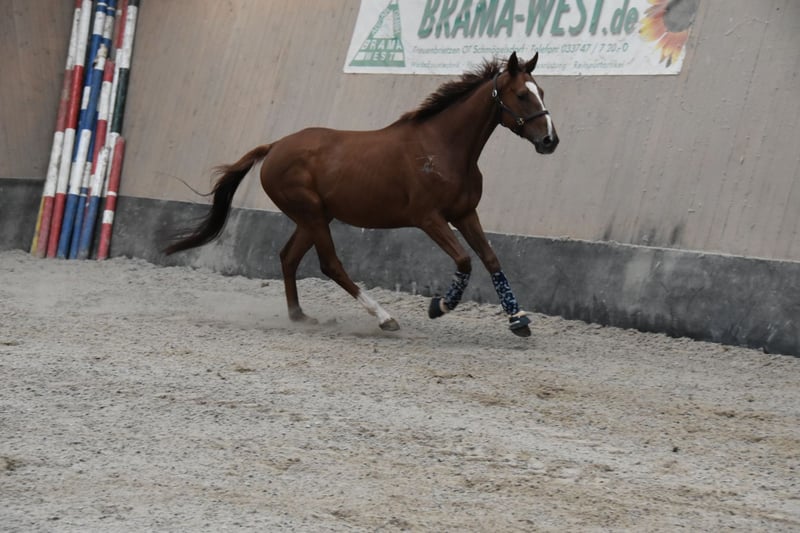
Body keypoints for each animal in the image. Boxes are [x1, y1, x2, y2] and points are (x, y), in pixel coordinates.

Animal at [164, 51, 558, 337]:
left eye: (541, 92)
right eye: (522, 94)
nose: (549, 140)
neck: (443, 148)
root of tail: (274, 147)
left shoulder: (464, 214)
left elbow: (491, 259)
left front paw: (519, 320)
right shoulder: (429, 218)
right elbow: (464, 260)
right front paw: (439, 306)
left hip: (314, 217)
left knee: (288, 257)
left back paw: (300, 316)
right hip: (311, 214)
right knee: (330, 264)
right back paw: (384, 318)